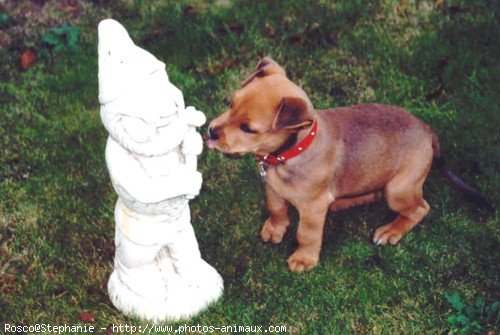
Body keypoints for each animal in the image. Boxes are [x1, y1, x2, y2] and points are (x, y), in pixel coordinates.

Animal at [207, 57, 488, 272]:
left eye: (248, 128)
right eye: (230, 103)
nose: (210, 131)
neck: (288, 153)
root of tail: (428, 131)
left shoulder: (313, 208)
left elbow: (305, 234)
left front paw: (304, 259)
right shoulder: (272, 188)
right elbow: (276, 208)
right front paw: (275, 228)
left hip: (398, 190)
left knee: (420, 209)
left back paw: (391, 231)